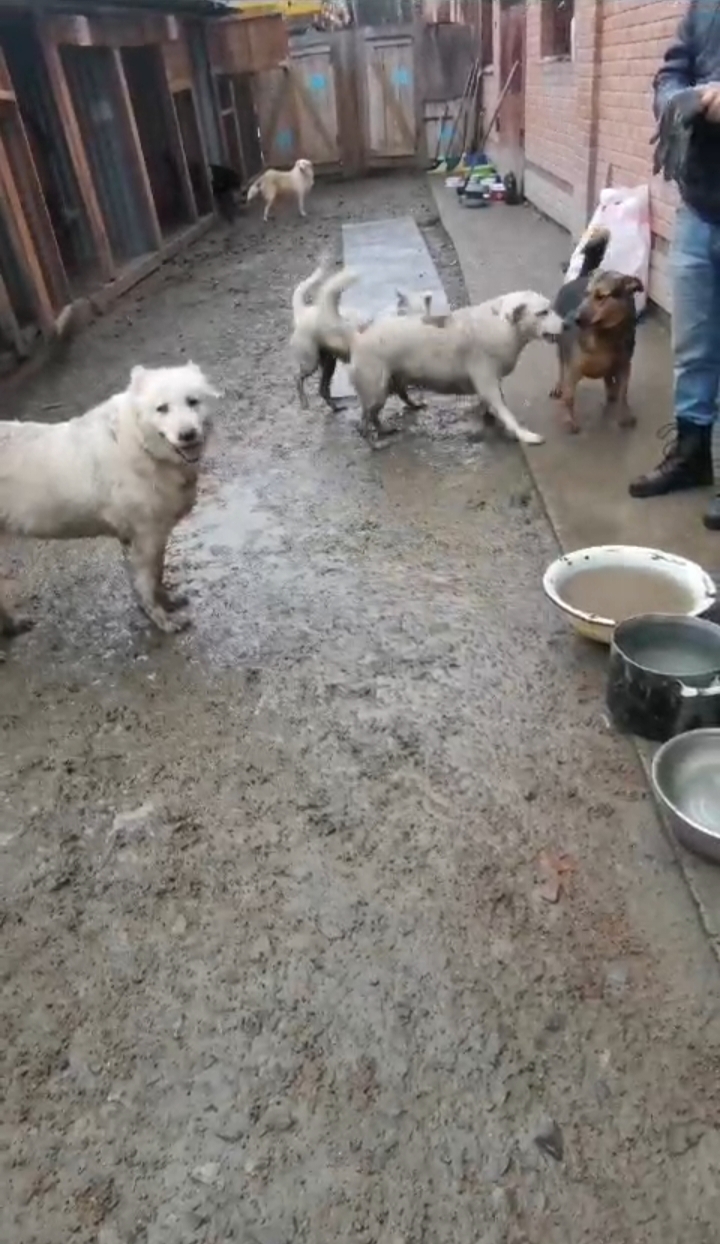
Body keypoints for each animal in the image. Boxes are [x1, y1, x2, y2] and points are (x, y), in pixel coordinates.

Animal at [0, 362, 220, 644]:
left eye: (193, 401)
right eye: (162, 408)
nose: (187, 434)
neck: (139, 443)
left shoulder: (146, 537)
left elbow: (157, 575)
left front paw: (167, 603)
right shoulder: (145, 537)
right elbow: (147, 583)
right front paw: (162, 620)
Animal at [347, 286, 563, 447]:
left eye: (550, 308)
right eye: (542, 313)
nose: (567, 324)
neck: (503, 325)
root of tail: (357, 339)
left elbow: (492, 403)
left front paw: (487, 413)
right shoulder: (486, 379)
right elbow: (504, 409)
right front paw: (523, 434)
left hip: (392, 382)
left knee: (383, 409)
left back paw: (392, 422)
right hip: (375, 391)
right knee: (364, 422)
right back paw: (375, 443)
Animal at [551, 227, 643, 432]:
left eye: (601, 296)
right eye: (586, 295)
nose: (572, 320)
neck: (605, 336)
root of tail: (582, 274)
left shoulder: (624, 365)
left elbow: (623, 391)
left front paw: (624, 414)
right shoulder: (574, 369)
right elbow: (569, 397)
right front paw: (569, 420)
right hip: (561, 349)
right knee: (560, 366)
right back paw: (558, 386)